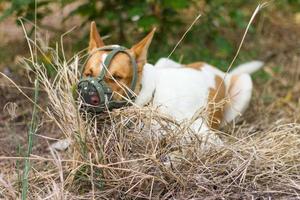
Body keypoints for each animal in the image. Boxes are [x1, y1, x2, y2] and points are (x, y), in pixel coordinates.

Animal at [82, 21, 262, 145]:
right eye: (88, 74)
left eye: (117, 77)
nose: (89, 97)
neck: (150, 99)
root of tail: (221, 73)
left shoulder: (206, 135)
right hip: (163, 62)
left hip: (246, 84)